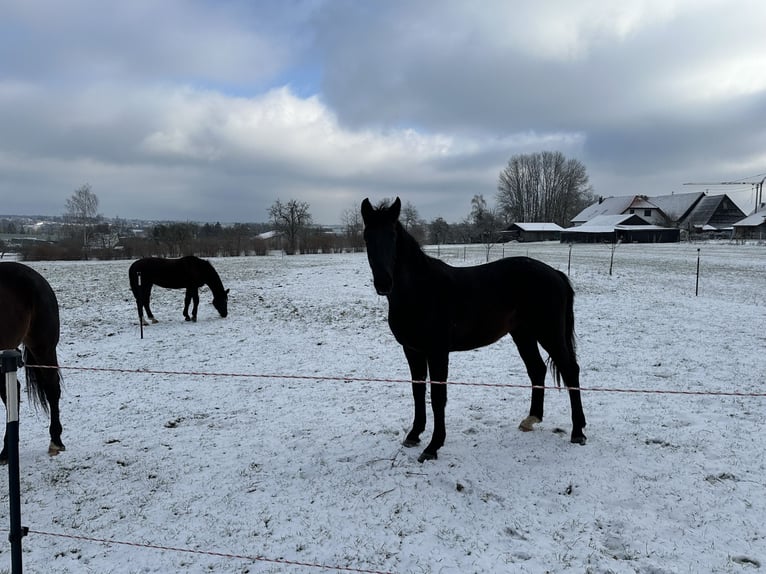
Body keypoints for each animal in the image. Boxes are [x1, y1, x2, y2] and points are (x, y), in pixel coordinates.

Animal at [362, 198, 588, 464]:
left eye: (393, 236)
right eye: (367, 236)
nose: (383, 283)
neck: (421, 291)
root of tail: (556, 274)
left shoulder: (437, 352)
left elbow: (438, 396)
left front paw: (433, 446)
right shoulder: (412, 350)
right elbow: (418, 391)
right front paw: (414, 435)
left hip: (549, 333)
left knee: (570, 370)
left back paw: (578, 432)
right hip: (523, 334)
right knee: (537, 369)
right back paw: (531, 419)